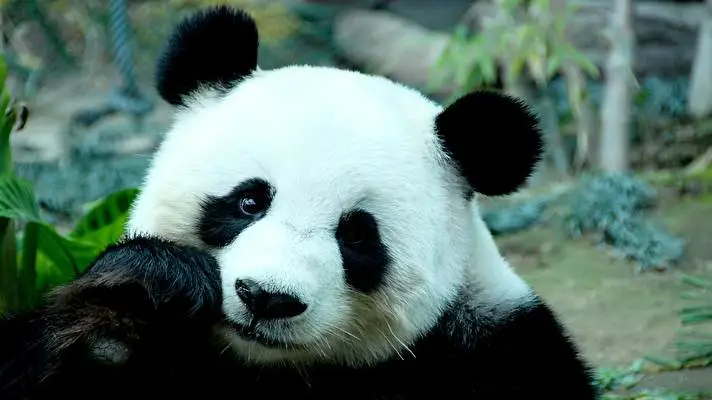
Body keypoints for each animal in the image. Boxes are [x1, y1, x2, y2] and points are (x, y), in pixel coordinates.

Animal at [0, 5, 598, 400]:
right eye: (248, 202)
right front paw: (144, 291)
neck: (268, 367)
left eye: (356, 234)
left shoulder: (494, 349)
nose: (267, 298)